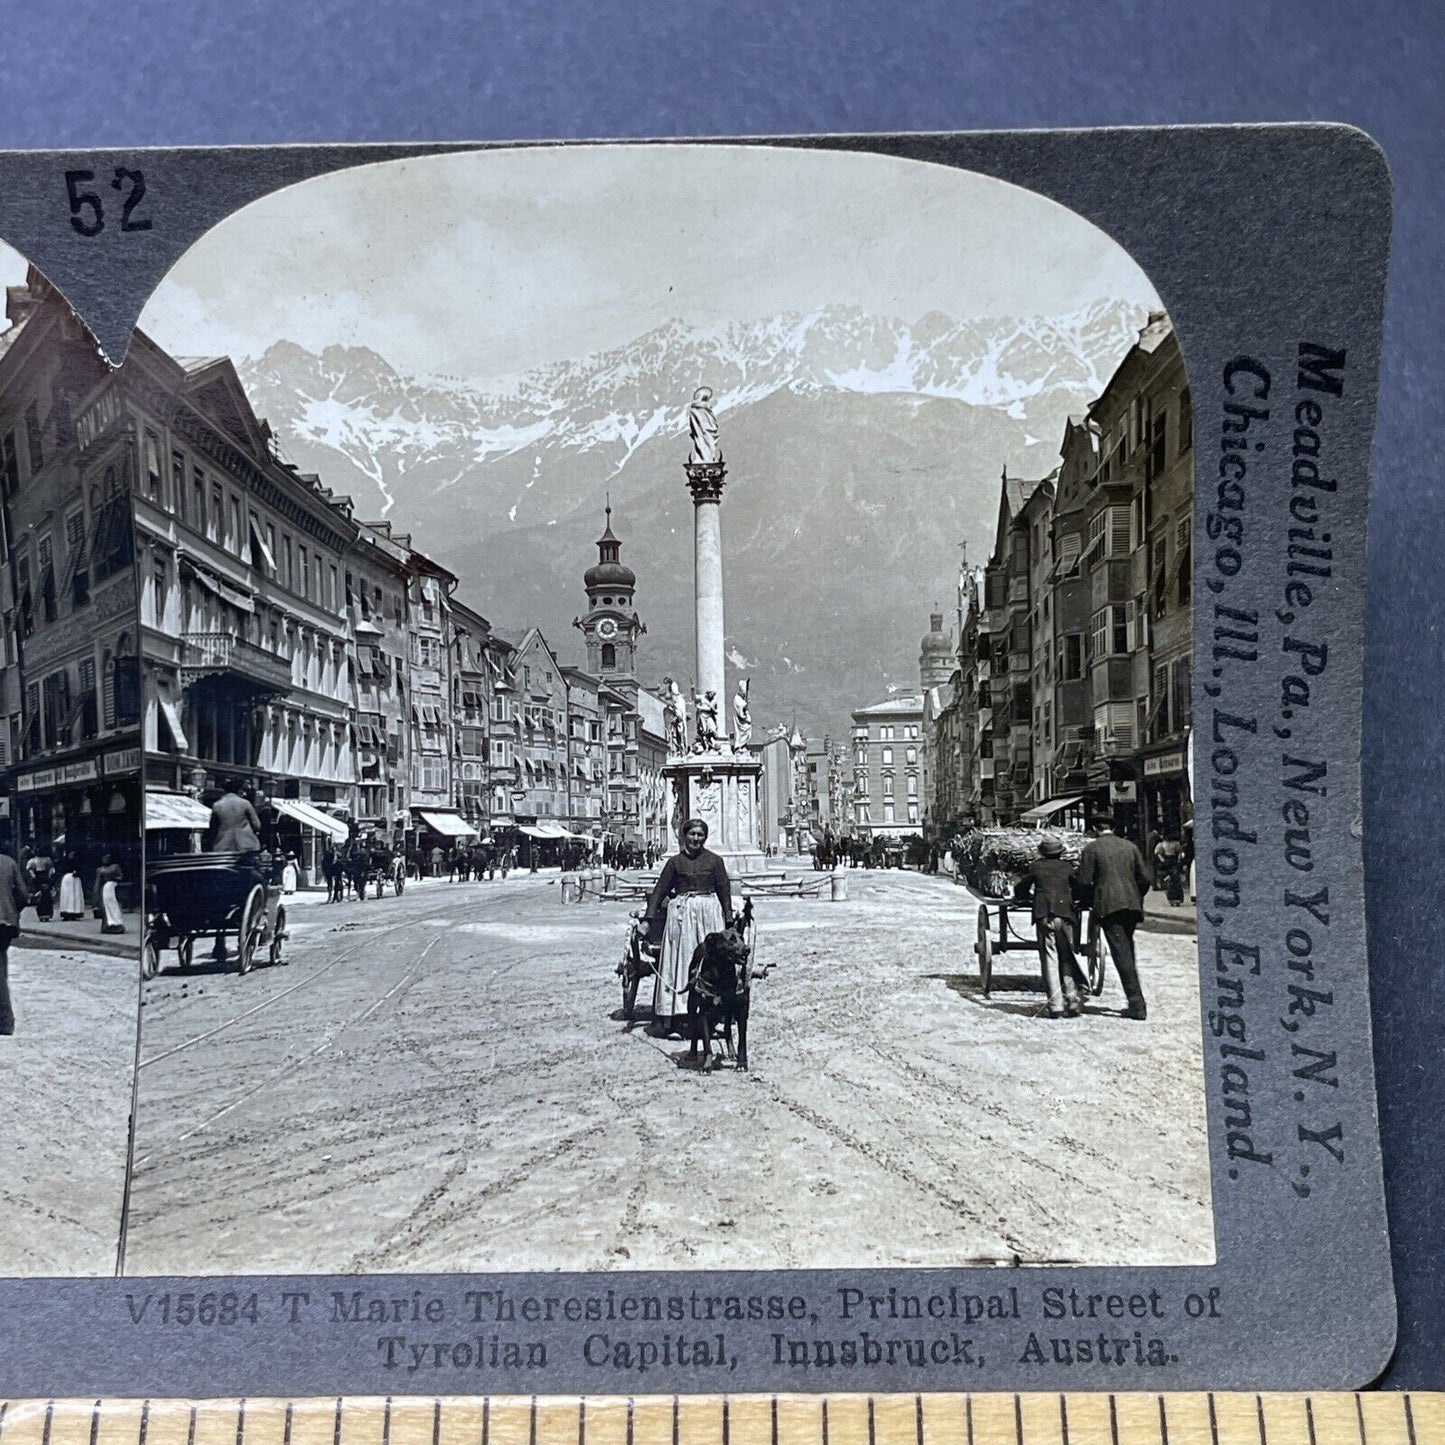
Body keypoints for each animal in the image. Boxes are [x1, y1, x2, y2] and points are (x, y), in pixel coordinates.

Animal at [687, 901, 757, 1075]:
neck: (721, 974)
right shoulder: (704, 1011)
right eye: (731, 940)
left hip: (728, 1009)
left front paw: (742, 1063)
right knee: (693, 1027)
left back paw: (731, 1051)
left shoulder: (741, 1008)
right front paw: (707, 1065)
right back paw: (692, 1053)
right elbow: (706, 1043)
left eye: (742, 938)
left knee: (727, 1030)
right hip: (692, 1002)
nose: (747, 949)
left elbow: (742, 1040)